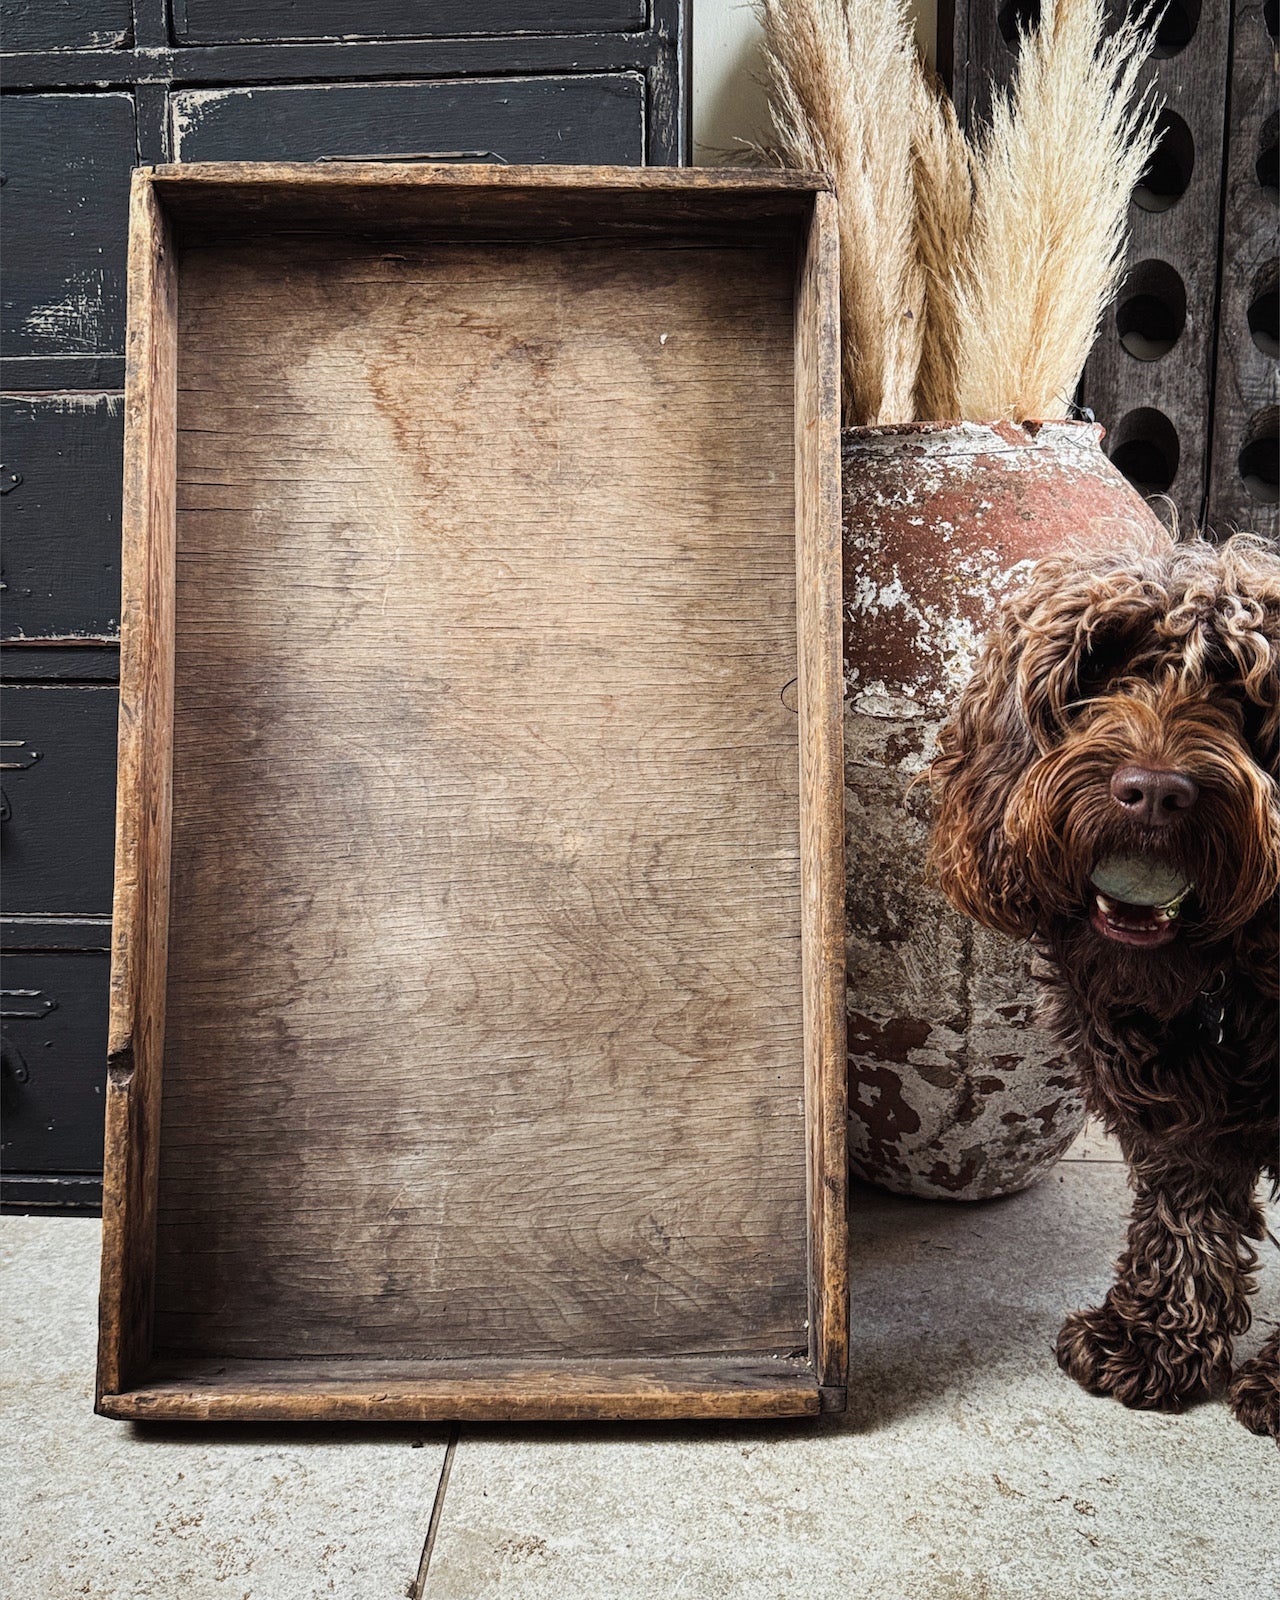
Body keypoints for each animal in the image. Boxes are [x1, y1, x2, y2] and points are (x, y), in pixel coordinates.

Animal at [928, 528, 1280, 1440]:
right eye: (1102, 665)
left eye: (1243, 686)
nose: (1153, 794)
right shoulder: (1176, 1098)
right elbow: (1183, 1206)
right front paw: (1153, 1340)